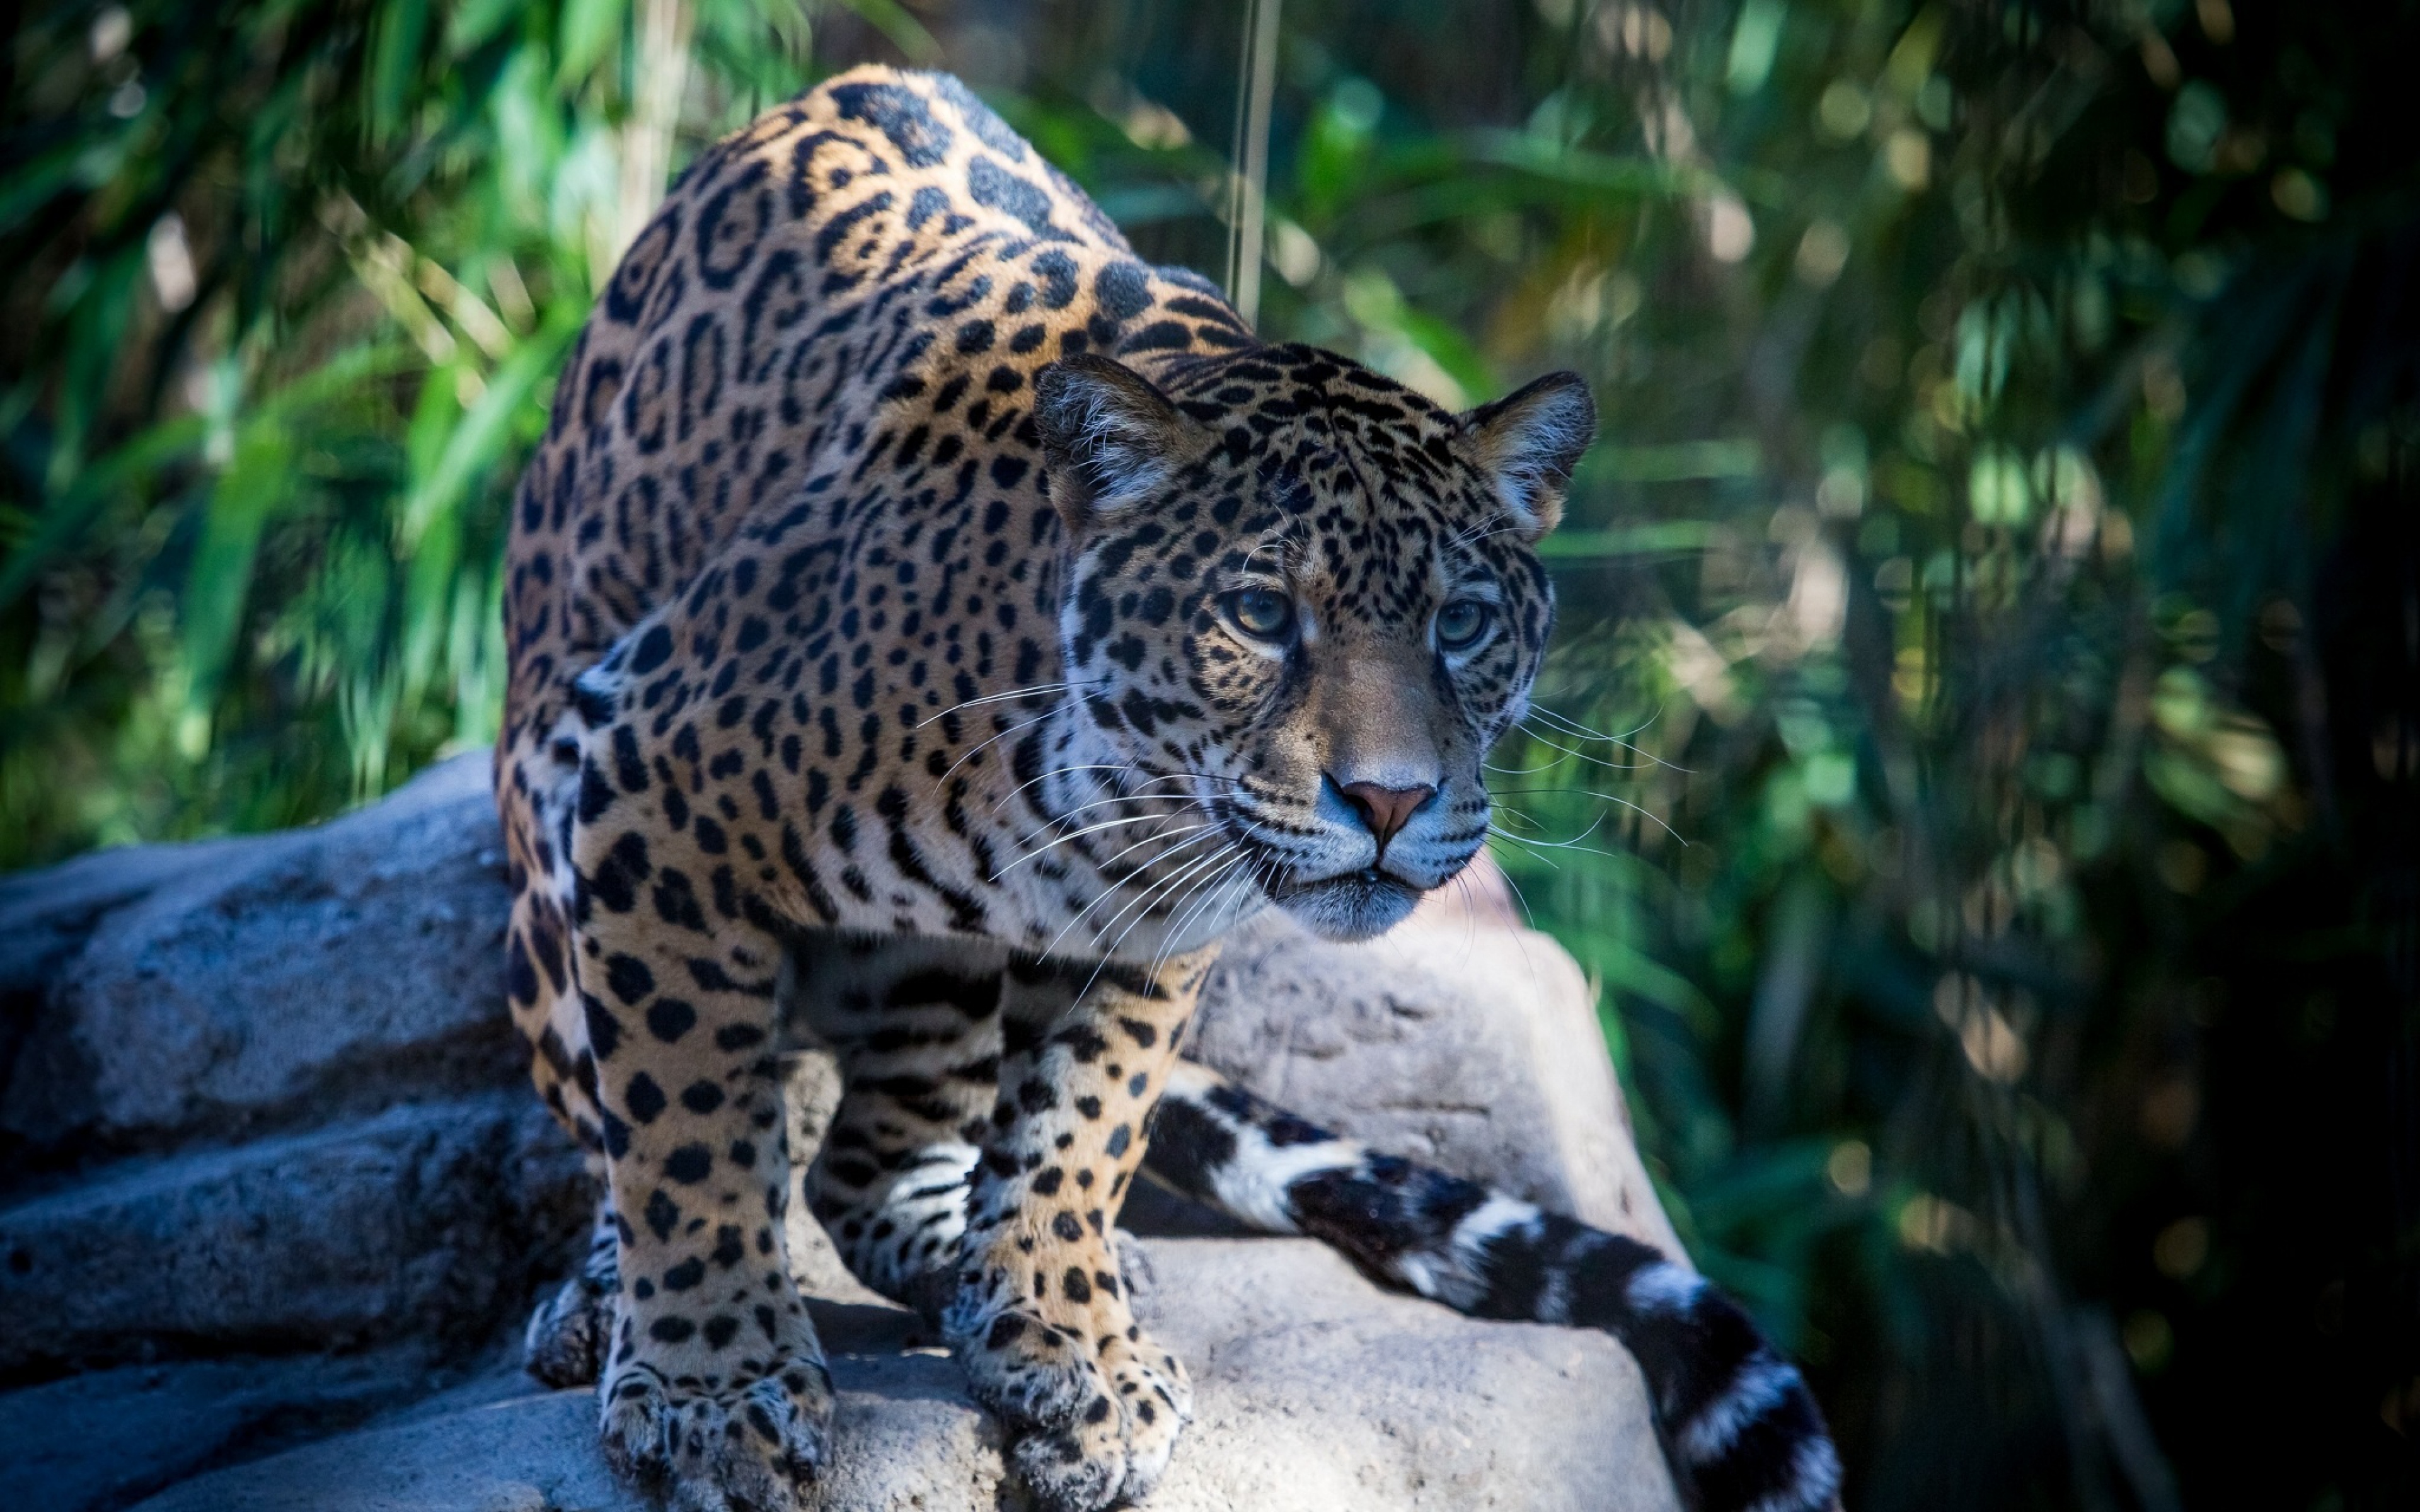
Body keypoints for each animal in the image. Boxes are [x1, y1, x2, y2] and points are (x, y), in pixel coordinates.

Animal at [500, 62, 1839, 1509]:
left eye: (1465, 624)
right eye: (1258, 614)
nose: (1391, 803)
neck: (1094, 784)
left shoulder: (1154, 923)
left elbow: (1083, 1129)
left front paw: (1073, 1343)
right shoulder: (652, 777)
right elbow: (686, 1127)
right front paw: (715, 1385)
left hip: (928, 967)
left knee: (877, 1164)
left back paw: (994, 1262)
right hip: (546, 840)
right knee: (630, 1114)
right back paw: (607, 1298)